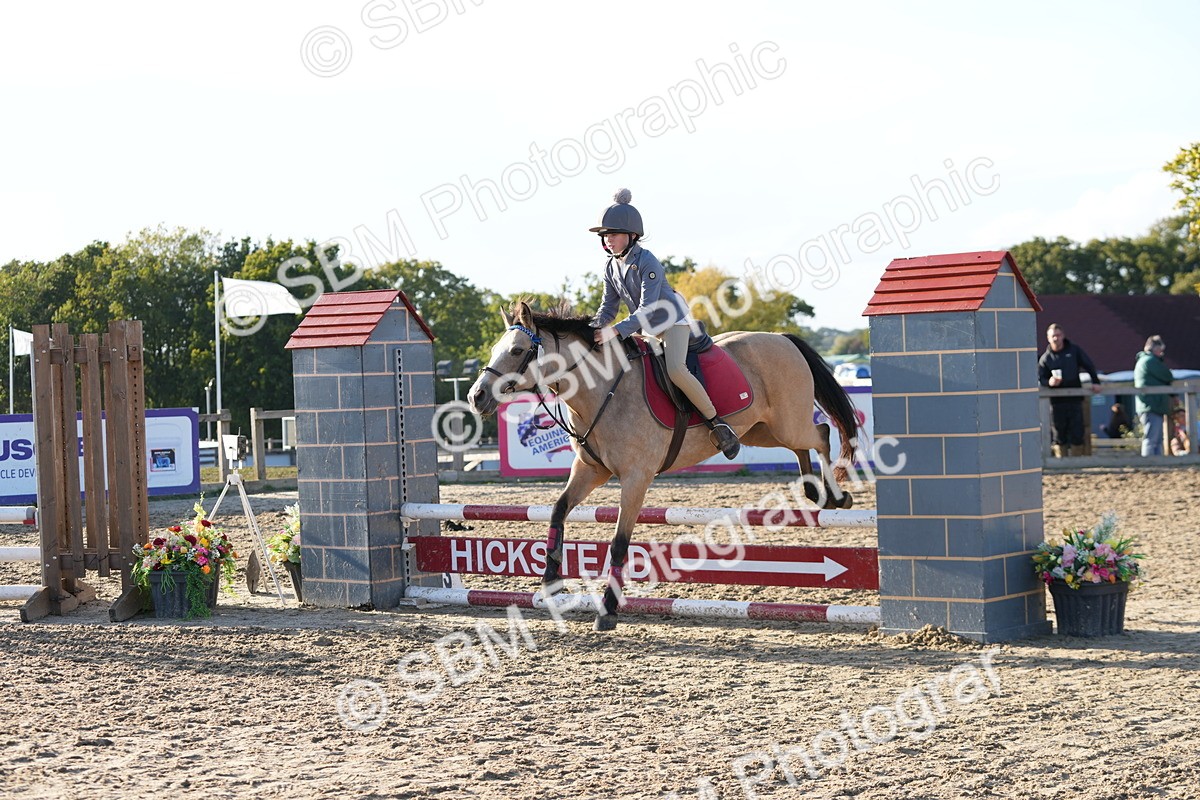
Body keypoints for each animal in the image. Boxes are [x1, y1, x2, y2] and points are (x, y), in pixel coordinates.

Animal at [467, 301, 860, 631]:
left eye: (518, 350)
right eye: (495, 348)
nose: (476, 397)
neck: (601, 391)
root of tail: (781, 337)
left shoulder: (635, 479)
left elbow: (619, 544)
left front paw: (607, 612)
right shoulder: (591, 471)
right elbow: (558, 511)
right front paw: (550, 582)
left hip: (786, 422)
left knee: (821, 435)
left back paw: (837, 495)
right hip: (762, 431)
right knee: (804, 445)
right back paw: (816, 492)